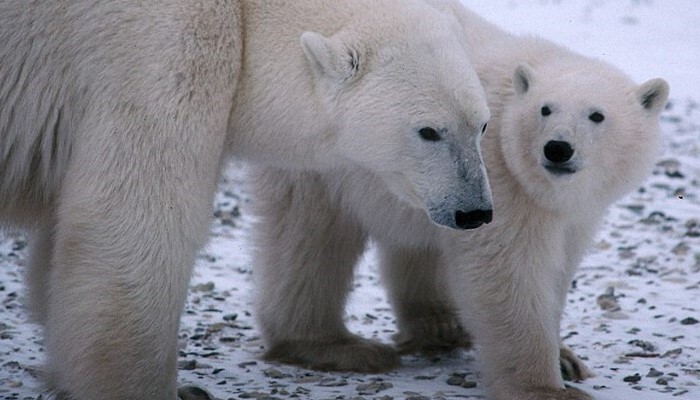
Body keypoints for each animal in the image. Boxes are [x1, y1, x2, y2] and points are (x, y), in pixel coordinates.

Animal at [0, 1, 492, 399]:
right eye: (428, 131)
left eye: (482, 124)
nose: (475, 212)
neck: (246, 14)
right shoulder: (157, 51)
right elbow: (134, 219)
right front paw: (163, 388)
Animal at [249, 1, 669, 399]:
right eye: (545, 109)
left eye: (597, 115)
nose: (557, 149)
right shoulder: (498, 182)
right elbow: (508, 273)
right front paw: (544, 387)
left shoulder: (569, 213)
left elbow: (557, 270)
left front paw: (566, 359)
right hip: (321, 167)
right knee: (309, 238)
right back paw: (328, 343)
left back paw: (440, 324)